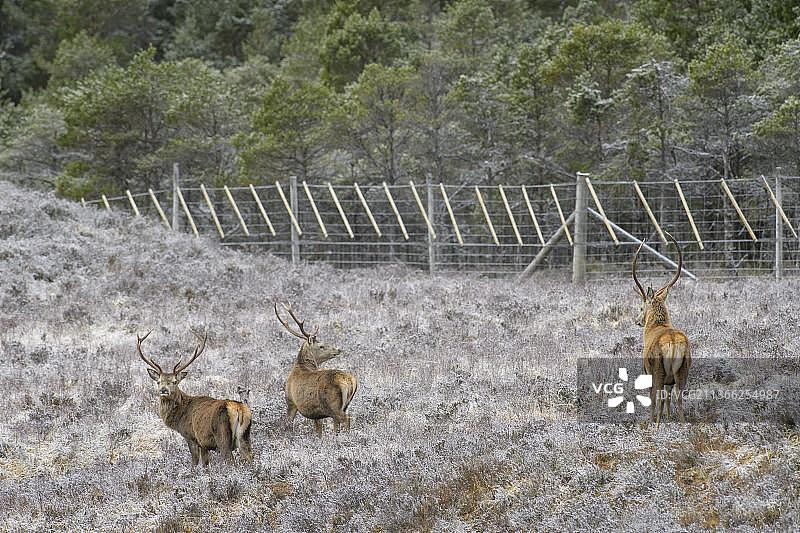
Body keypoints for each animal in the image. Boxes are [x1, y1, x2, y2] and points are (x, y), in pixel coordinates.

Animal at [136, 330, 253, 467]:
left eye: (175, 381)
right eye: (158, 381)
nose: (164, 390)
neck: (180, 416)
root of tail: (239, 408)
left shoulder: (192, 437)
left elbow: (195, 462)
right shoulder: (204, 444)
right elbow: (205, 464)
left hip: (222, 435)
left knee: (229, 460)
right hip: (244, 436)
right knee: (250, 457)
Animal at [274, 302, 358, 438]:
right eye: (321, 346)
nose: (338, 349)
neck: (302, 366)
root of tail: (349, 382)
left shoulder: (291, 402)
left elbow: (289, 424)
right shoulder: (316, 412)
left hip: (333, 404)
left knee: (347, 418)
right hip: (345, 404)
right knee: (339, 422)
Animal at [632, 232, 691, 426]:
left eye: (641, 307)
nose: (637, 321)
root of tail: (673, 343)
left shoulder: (648, 371)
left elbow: (655, 399)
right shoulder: (669, 381)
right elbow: (667, 400)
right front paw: (668, 419)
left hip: (657, 370)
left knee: (655, 398)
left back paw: (655, 425)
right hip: (683, 371)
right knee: (678, 399)